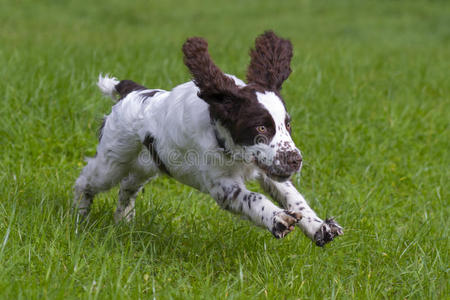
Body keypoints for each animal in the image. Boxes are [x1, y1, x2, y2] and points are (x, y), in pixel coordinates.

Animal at [74, 30, 342, 246]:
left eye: (287, 124)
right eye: (261, 128)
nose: (295, 160)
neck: (230, 146)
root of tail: (133, 91)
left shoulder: (267, 169)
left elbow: (293, 197)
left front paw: (320, 227)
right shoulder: (222, 185)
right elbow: (253, 198)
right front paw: (277, 218)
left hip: (145, 164)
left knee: (127, 187)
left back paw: (124, 221)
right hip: (113, 160)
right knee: (85, 180)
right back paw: (78, 217)